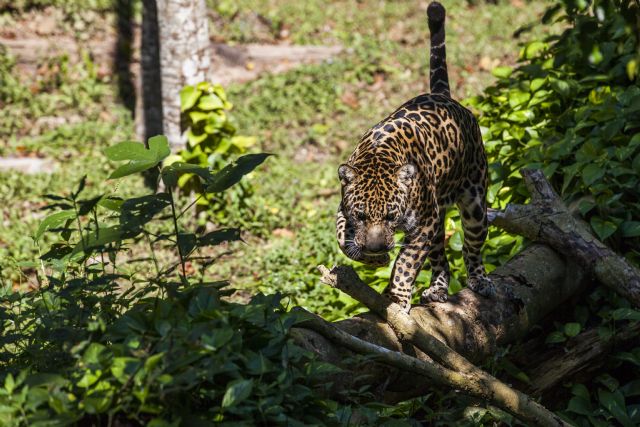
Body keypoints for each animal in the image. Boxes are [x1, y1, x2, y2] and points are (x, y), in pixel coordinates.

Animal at [336, 1, 495, 311]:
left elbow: (406, 263)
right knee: (440, 258)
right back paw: (437, 289)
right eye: (360, 215)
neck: (377, 157)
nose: (375, 247)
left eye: (390, 215)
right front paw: (373, 257)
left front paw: (397, 295)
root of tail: (445, 98)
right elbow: (341, 236)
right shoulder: (342, 209)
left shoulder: (424, 224)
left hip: (474, 206)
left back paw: (479, 280)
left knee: (471, 248)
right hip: (439, 220)